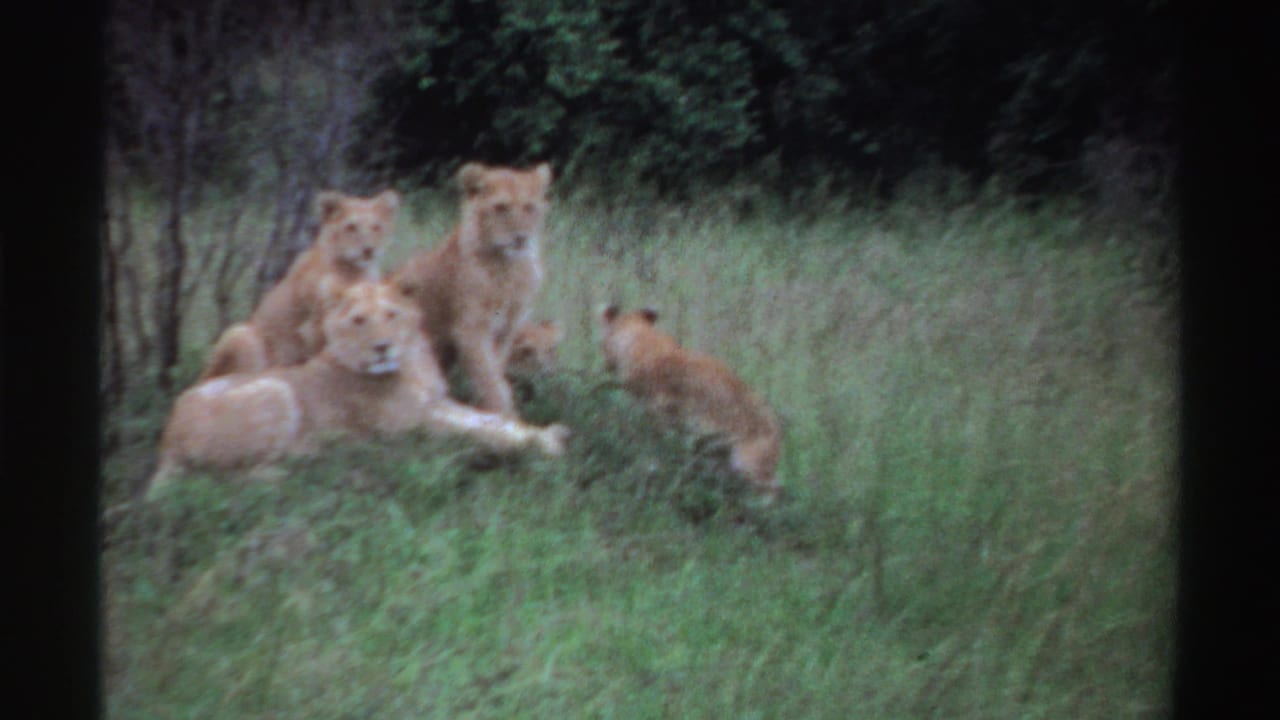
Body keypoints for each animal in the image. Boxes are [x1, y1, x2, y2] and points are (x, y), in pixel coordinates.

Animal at [145, 282, 570, 500]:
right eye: (359, 320)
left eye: (391, 315)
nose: (382, 347)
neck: (411, 363)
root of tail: (166, 438)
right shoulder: (416, 425)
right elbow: (481, 432)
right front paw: (546, 445)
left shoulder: (438, 402)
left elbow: (491, 420)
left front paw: (548, 434)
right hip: (274, 389)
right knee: (222, 478)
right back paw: (300, 467)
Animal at [197, 189, 400, 381]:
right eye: (351, 227)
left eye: (376, 227)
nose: (368, 250)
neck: (354, 270)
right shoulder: (313, 327)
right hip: (240, 334)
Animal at [390, 162, 552, 417]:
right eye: (501, 208)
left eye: (529, 208)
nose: (521, 238)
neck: (508, 267)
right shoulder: (471, 330)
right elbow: (492, 381)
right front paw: (505, 417)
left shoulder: (506, 329)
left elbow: (495, 373)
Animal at [598, 305, 782, 501]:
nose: (605, 364)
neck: (638, 336)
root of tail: (777, 432)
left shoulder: (662, 414)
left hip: (747, 464)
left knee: (774, 490)